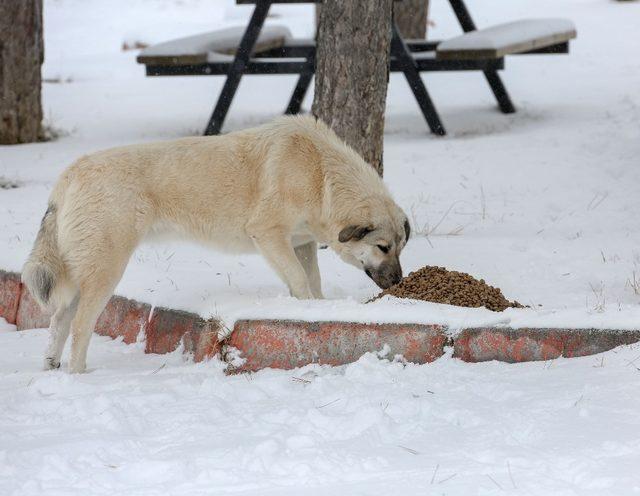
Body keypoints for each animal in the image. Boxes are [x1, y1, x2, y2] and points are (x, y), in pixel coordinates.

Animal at [22, 117, 410, 372]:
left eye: (400, 247)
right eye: (383, 247)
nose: (398, 281)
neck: (320, 174)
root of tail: (69, 175)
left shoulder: (302, 244)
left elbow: (311, 283)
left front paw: (317, 308)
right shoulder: (269, 235)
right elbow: (300, 282)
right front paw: (307, 311)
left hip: (83, 274)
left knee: (59, 319)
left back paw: (51, 364)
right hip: (106, 270)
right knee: (79, 325)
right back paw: (78, 374)